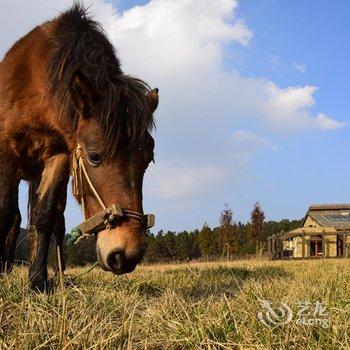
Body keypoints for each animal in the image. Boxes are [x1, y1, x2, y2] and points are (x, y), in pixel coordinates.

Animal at [0, 4, 159, 292]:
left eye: (148, 160)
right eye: (94, 156)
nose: (126, 254)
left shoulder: (59, 156)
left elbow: (44, 215)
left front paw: (38, 281)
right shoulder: (6, 151)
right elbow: (4, 214)